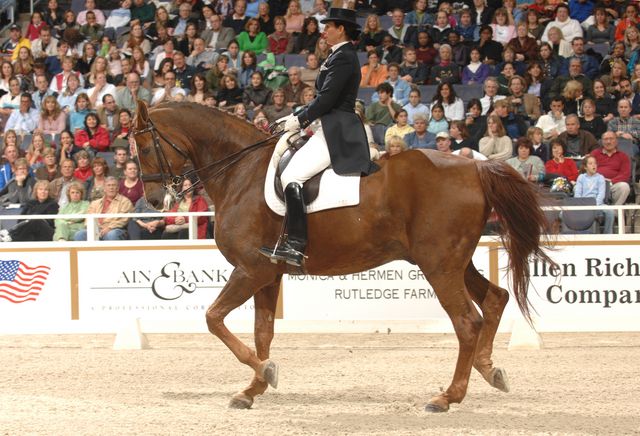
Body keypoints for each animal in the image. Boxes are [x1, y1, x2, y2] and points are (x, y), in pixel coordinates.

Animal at [132, 101, 552, 412]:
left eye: (146, 147)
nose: (154, 200)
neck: (240, 170)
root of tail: (476, 166)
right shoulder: (269, 272)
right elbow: (262, 331)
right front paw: (252, 389)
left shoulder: (250, 269)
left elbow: (213, 318)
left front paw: (266, 371)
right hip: (453, 262)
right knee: (495, 299)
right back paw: (490, 370)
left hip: (440, 265)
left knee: (467, 322)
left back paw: (447, 397)